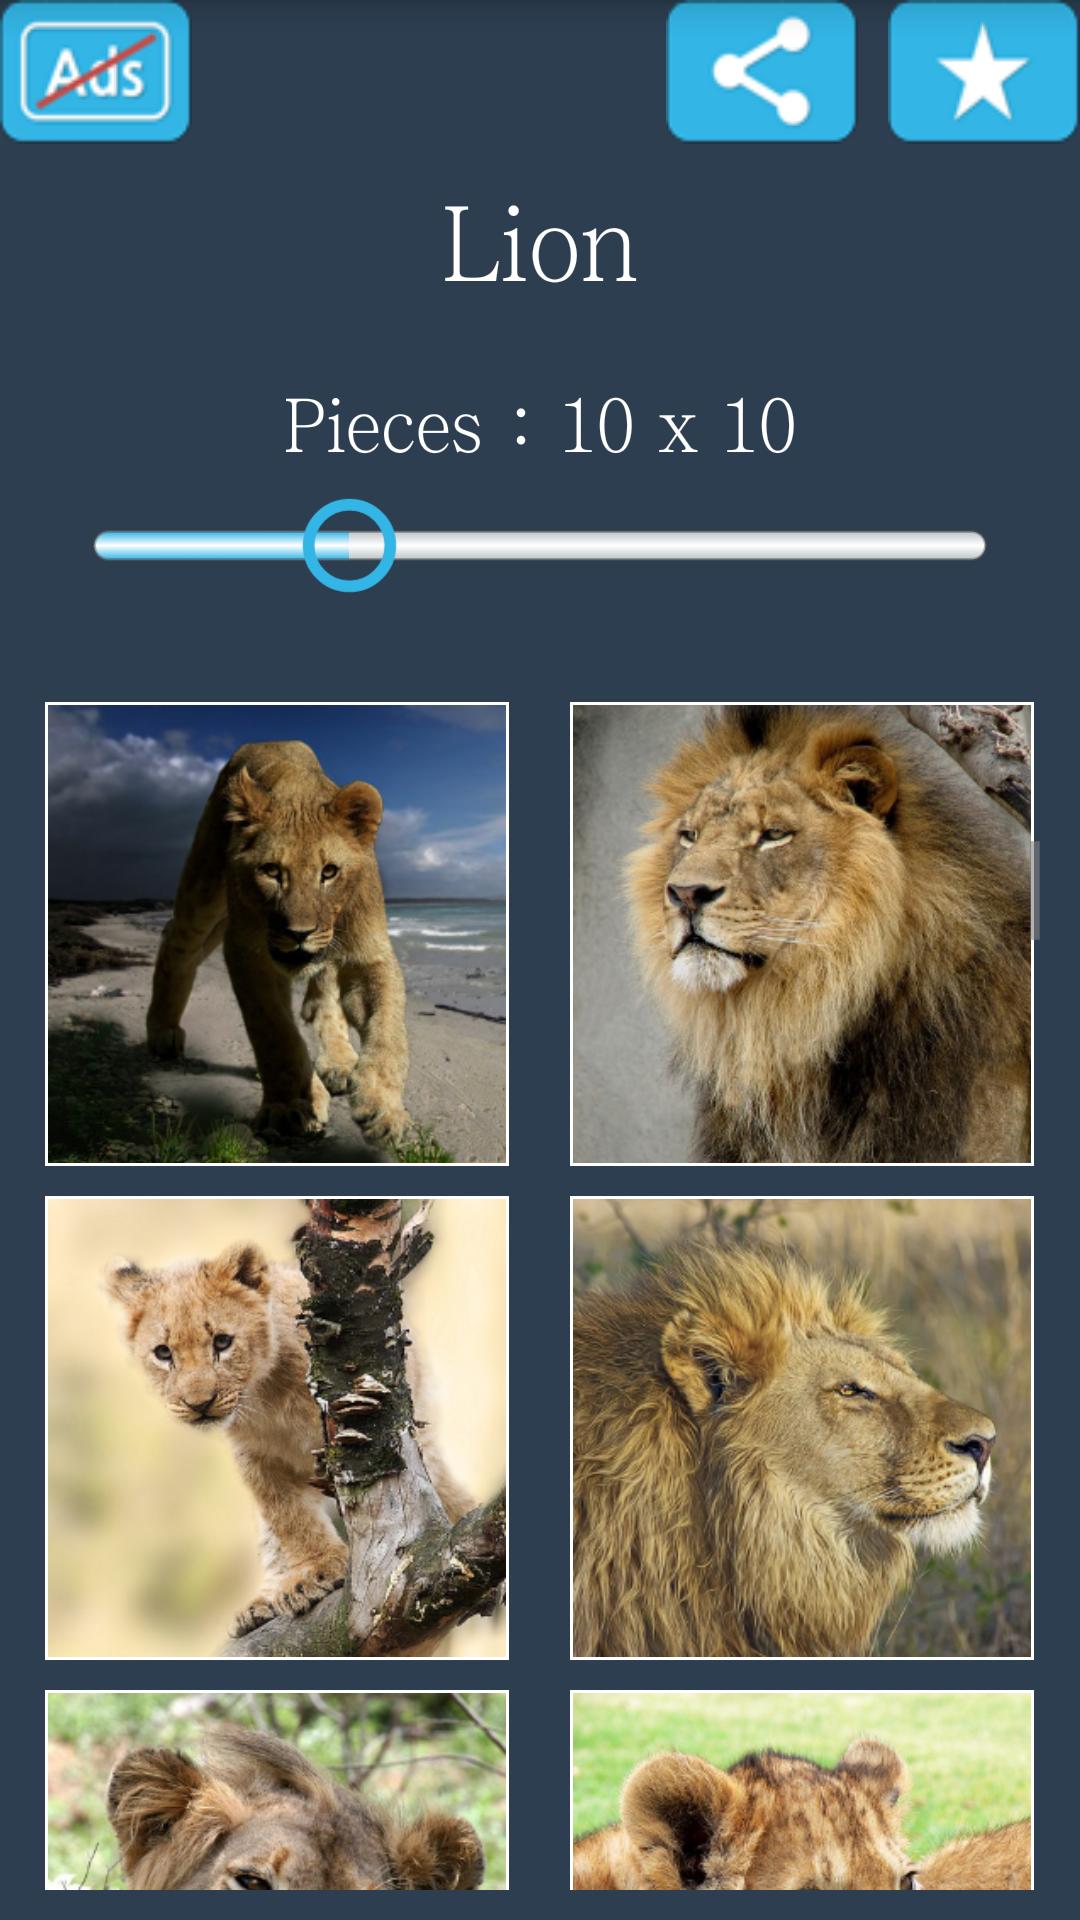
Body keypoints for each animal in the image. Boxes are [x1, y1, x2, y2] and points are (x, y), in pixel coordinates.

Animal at [107, 1243, 470, 1639]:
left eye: (222, 1342)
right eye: (163, 1353)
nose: (198, 1404)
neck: (265, 1394)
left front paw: (319, 1573)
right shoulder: (255, 1457)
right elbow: (286, 1515)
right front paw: (313, 1572)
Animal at [146, 739, 410, 1144]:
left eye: (329, 872)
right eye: (271, 871)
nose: (299, 933)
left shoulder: (369, 955)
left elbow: (388, 1032)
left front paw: (384, 1109)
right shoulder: (247, 951)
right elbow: (274, 1034)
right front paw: (290, 1106)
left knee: (324, 995)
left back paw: (339, 1062)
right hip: (204, 888)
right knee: (177, 939)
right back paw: (162, 1031)